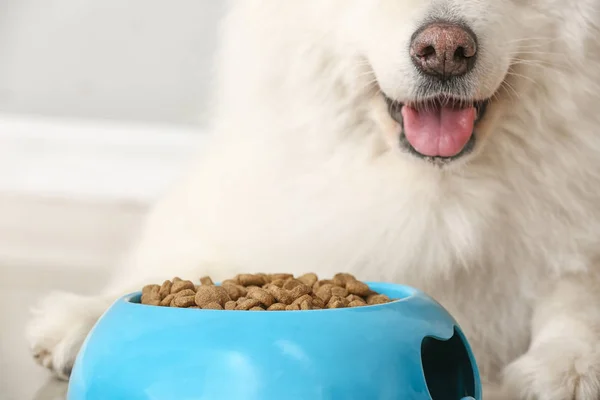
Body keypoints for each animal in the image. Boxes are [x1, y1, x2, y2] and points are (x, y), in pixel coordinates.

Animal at [27, 1, 600, 398]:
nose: (443, 50)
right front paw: (85, 317)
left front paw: (568, 368)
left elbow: (575, 296)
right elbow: (200, 264)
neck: (433, 194)